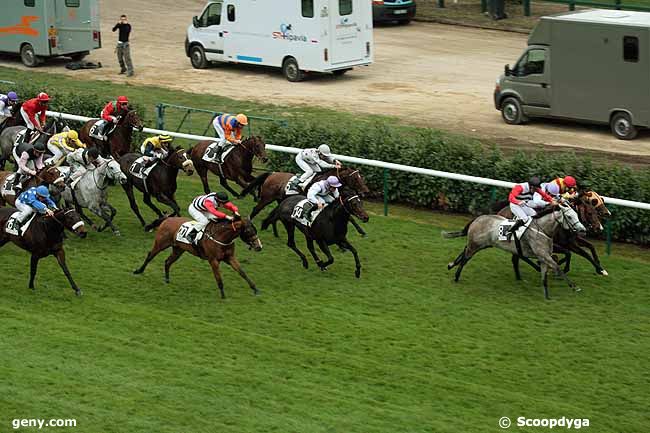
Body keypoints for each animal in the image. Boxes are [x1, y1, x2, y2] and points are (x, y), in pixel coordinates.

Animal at [133, 215, 262, 298]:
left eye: (255, 230)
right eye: (249, 231)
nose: (259, 246)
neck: (221, 237)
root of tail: (168, 218)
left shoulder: (230, 258)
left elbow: (242, 272)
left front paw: (255, 289)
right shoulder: (213, 260)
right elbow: (218, 278)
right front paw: (223, 295)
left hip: (178, 250)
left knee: (167, 262)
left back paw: (167, 279)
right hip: (161, 243)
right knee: (150, 255)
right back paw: (139, 271)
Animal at [446, 203, 588, 298]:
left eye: (576, 215)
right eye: (569, 216)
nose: (583, 230)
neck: (543, 229)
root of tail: (478, 218)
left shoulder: (543, 256)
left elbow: (546, 273)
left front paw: (547, 295)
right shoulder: (543, 255)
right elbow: (557, 266)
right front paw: (574, 287)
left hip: (482, 244)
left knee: (464, 251)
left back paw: (451, 265)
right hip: (475, 244)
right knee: (465, 258)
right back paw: (456, 276)